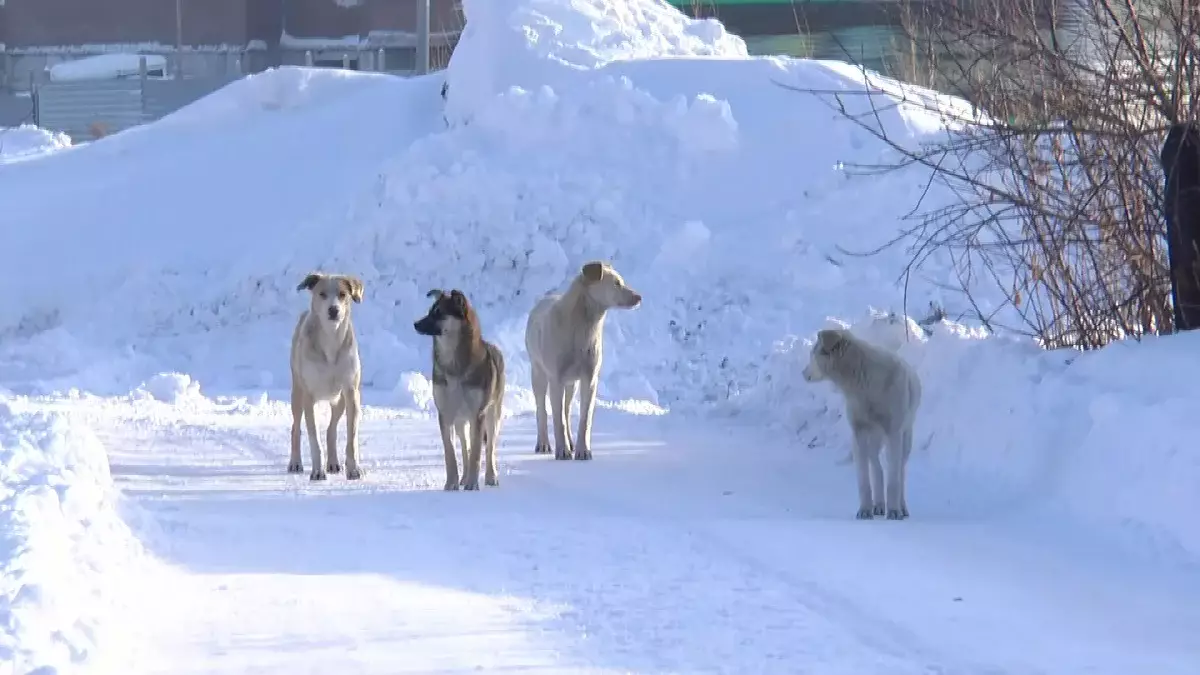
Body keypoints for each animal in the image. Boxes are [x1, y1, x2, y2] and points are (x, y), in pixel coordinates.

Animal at [289, 270, 364, 480]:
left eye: (343, 294)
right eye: (322, 294)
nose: (333, 310)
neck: (330, 340)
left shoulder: (351, 391)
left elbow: (351, 436)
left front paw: (353, 469)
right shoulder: (309, 395)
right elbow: (314, 438)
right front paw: (317, 471)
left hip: (339, 400)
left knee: (331, 429)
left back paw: (333, 463)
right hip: (297, 392)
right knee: (295, 428)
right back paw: (295, 463)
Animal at [412, 288, 506, 487]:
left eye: (439, 313)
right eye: (430, 311)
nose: (415, 324)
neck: (454, 364)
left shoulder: (478, 414)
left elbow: (477, 452)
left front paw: (472, 484)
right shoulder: (446, 413)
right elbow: (451, 453)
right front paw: (452, 483)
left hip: (492, 414)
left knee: (490, 447)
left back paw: (490, 476)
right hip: (460, 421)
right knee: (465, 446)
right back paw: (463, 478)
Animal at [523, 260, 638, 458]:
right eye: (616, 283)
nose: (639, 297)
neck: (583, 327)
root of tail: (542, 301)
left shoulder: (589, 378)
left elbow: (585, 418)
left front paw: (583, 450)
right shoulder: (556, 379)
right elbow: (557, 419)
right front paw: (562, 451)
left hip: (572, 384)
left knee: (567, 411)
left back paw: (570, 443)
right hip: (538, 373)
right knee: (543, 410)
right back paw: (544, 443)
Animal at [801, 326, 921, 521]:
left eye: (812, 353)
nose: (803, 373)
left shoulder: (894, 432)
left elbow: (894, 479)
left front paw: (894, 511)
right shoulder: (859, 431)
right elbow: (864, 479)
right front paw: (864, 510)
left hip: (905, 437)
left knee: (900, 470)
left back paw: (901, 508)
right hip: (873, 439)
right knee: (877, 468)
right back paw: (878, 505)